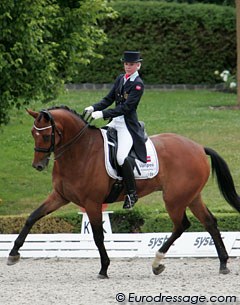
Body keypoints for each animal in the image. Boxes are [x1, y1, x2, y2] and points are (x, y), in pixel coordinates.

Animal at [6, 105, 240, 278]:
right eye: (32, 133)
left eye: (46, 136)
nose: (38, 165)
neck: (80, 151)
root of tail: (199, 147)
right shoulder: (60, 197)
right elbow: (32, 217)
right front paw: (13, 253)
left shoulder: (92, 202)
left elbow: (98, 236)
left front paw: (104, 268)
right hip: (191, 197)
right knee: (209, 222)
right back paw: (222, 263)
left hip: (174, 199)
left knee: (182, 225)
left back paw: (157, 262)